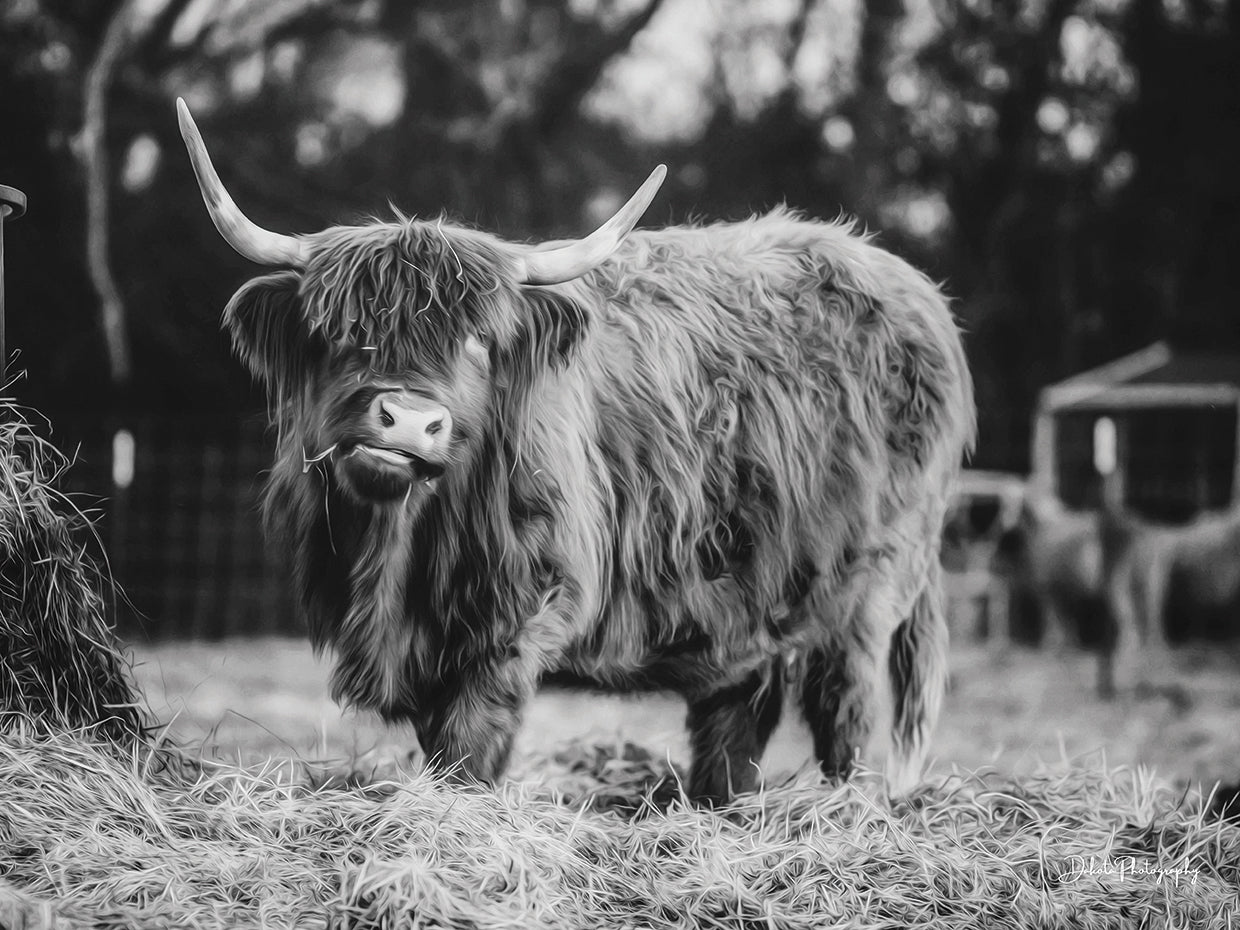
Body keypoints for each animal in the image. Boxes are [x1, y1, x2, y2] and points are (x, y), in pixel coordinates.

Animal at [177, 98, 975, 804]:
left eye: (479, 340)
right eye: (345, 329)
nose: (408, 422)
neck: (396, 560)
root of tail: (916, 292)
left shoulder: (523, 609)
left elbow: (469, 744)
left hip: (872, 589)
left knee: (849, 710)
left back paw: (849, 812)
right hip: (749, 596)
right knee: (736, 718)